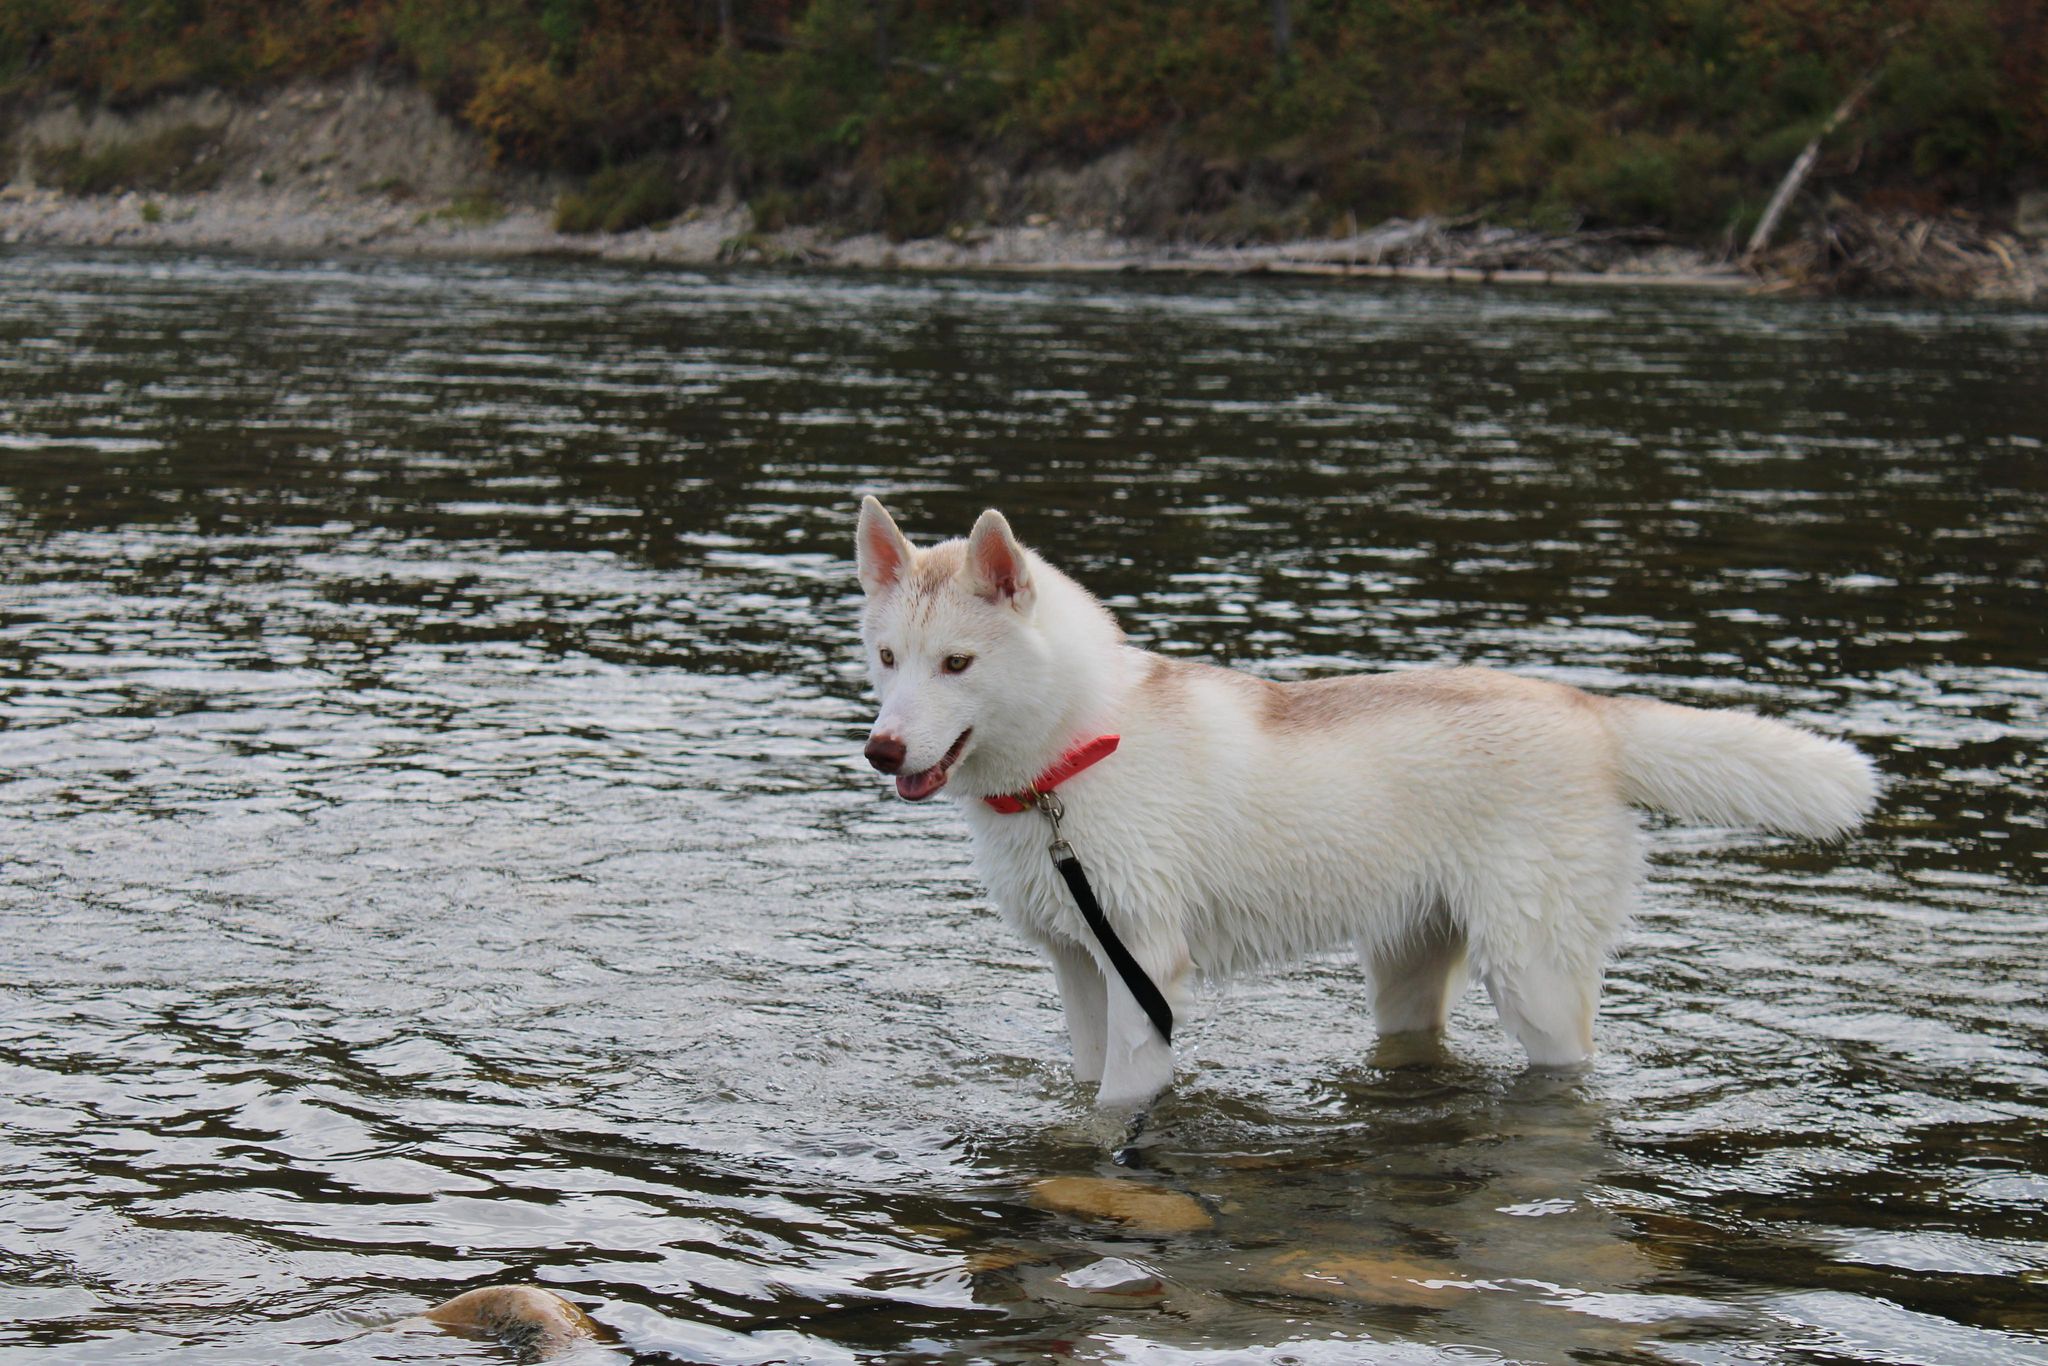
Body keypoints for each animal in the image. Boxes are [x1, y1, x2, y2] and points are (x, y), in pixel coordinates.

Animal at [853, 498, 1879, 1109]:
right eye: (889, 658)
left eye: (958, 664)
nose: (881, 750)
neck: (1073, 758)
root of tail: (1588, 713)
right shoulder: (1078, 968)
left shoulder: (1143, 970)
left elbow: (1121, 1104)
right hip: (1406, 971)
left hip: (1535, 982)